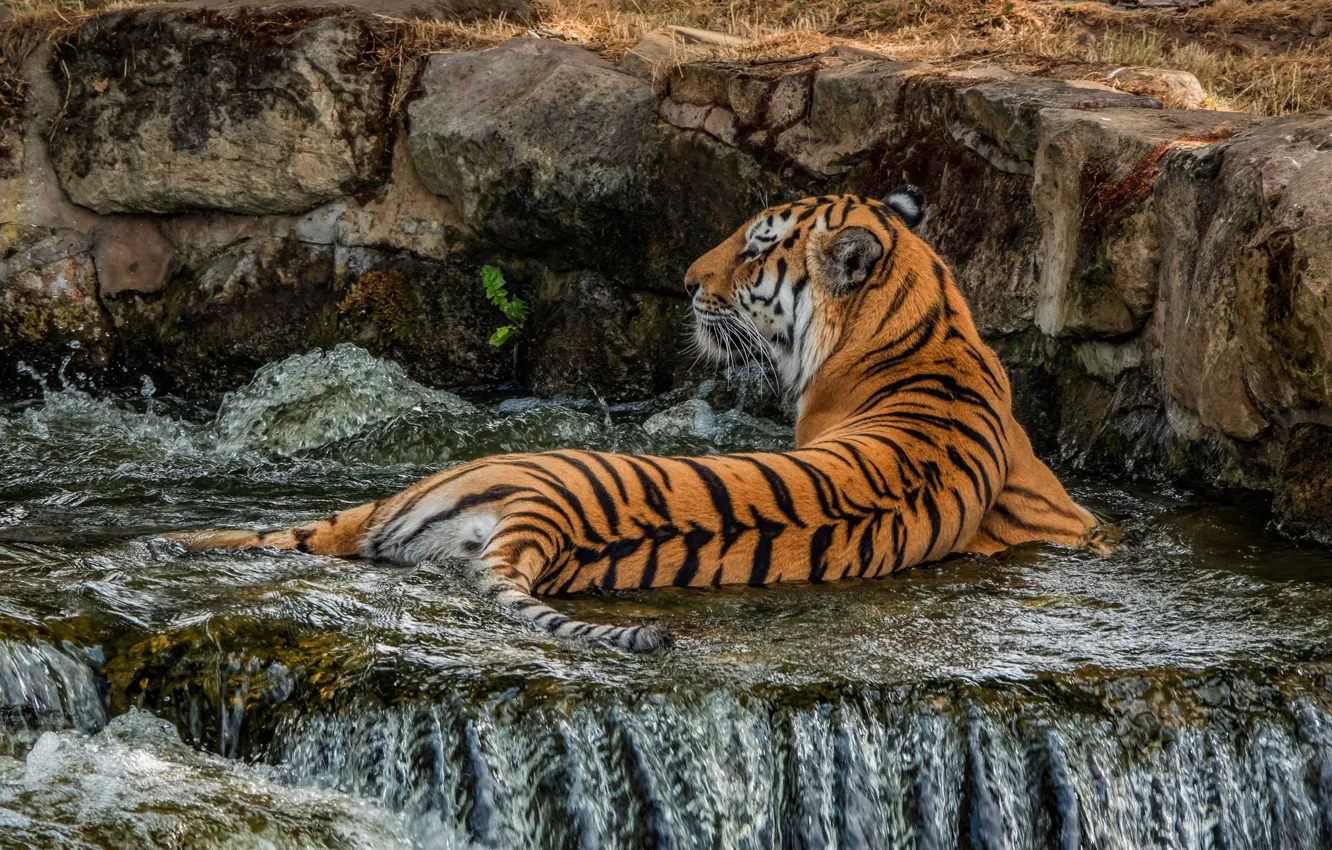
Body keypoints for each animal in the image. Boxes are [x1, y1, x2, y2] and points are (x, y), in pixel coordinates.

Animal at [172, 189, 1106, 652]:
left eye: (758, 246)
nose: (687, 282)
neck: (928, 320)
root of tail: (543, 522)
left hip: (419, 489)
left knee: (295, 532)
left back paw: (177, 542)